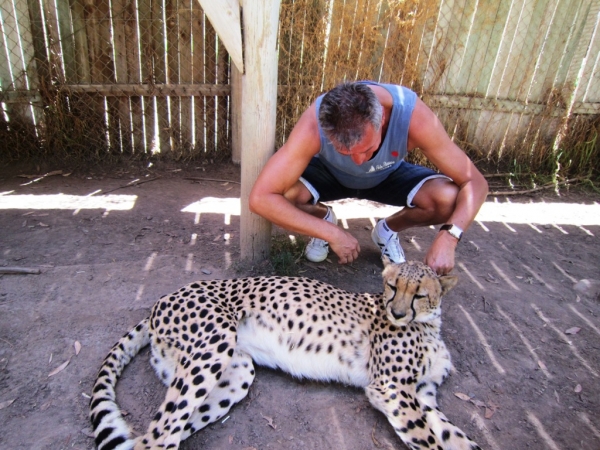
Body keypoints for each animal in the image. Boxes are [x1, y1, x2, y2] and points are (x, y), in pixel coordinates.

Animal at [90, 260, 482, 450]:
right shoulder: (391, 389)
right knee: (156, 436)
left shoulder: (422, 396)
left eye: (420, 294)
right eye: (391, 285)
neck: (428, 324)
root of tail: (163, 298)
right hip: (213, 345)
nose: (398, 314)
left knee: (159, 432)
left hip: (235, 372)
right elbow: (428, 441)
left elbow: (456, 437)